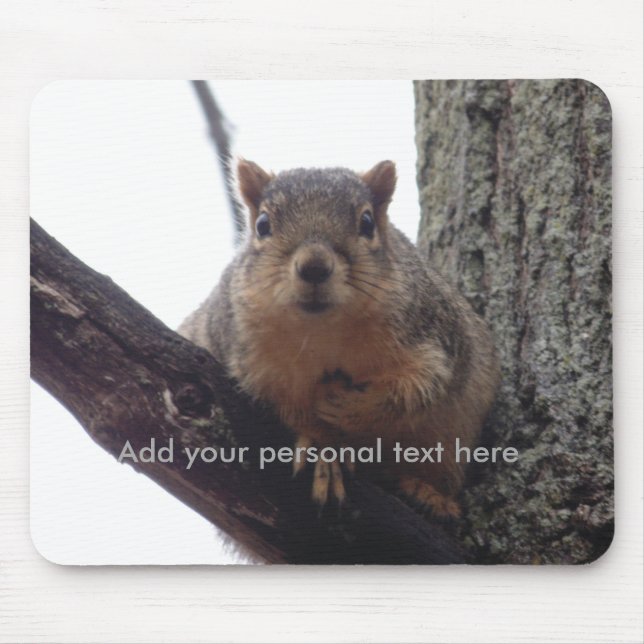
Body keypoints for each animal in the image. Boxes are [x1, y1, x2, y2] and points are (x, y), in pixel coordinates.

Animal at [178, 159, 500, 517]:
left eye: (367, 222)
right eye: (262, 225)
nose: (314, 267)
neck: (322, 331)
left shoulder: (434, 337)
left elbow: (417, 389)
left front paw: (348, 407)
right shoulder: (251, 361)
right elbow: (287, 409)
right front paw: (323, 447)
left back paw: (427, 493)